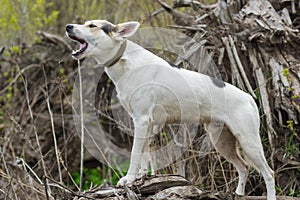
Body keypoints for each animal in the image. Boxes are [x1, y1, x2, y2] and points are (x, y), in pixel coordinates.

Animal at [66, 19, 276, 199]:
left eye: (92, 26)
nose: (68, 26)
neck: (125, 62)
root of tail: (249, 98)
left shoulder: (141, 121)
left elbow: (134, 154)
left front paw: (129, 179)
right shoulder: (146, 124)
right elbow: (144, 155)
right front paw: (141, 177)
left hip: (248, 141)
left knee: (269, 173)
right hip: (222, 142)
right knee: (244, 167)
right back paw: (239, 194)